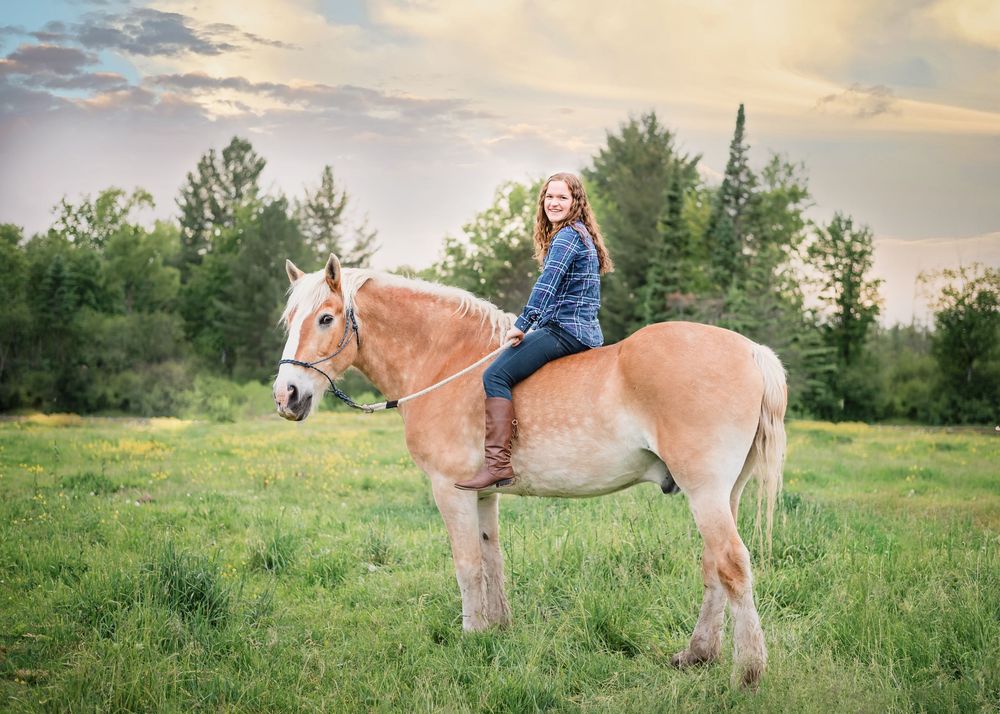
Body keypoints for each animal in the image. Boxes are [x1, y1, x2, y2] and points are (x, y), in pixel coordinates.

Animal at [272, 254, 787, 688]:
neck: (447, 363)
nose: (286, 395)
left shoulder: (449, 490)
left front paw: (471, 634)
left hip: (706, 492)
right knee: (714, 566)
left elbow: (467, 564)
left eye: (325, 318)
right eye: (289, 321)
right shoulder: (482, 493)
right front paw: (497, 629)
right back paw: (698, 654)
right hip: (725, 494)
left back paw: (748, 671)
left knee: (732, 564)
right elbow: (491, 557)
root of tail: (751, 351)